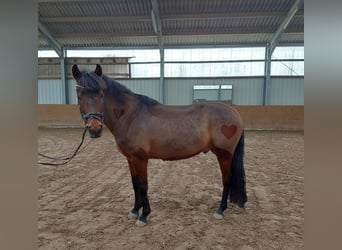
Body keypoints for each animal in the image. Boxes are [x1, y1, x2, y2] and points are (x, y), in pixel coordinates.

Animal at [73, 63, 248, 227]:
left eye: (101, 94)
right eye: (79, 96)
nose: (94, 128)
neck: (130, 116)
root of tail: (235, 112)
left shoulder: (140, 158)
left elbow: (143, 185)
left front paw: (144, 216)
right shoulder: (130, 159)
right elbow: (135, 184)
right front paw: (134, 211)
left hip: (224, 154)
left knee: (227, 179)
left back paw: (220, 210)